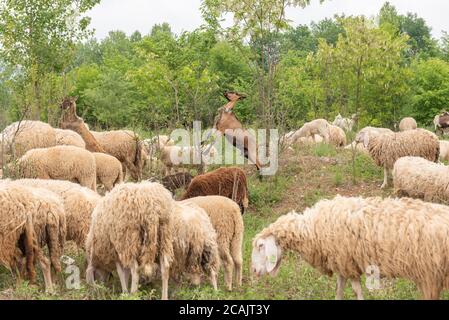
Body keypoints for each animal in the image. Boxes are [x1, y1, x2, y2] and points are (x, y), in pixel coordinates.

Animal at [250, 195, 449, 300]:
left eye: (261, 246)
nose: (253, 271)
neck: (311, 228)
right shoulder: (341, 264)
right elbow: (339, 289)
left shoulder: (348, 264)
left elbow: (356, 291)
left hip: (430, 274)